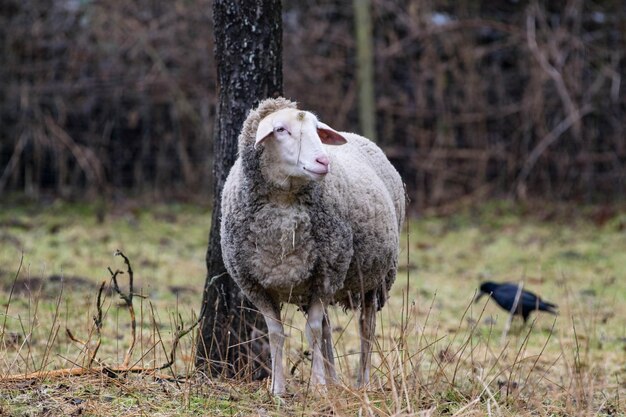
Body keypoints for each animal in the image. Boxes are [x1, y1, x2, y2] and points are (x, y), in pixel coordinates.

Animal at [219, 96, 404, 394]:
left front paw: (318, 387)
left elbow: (313, 330)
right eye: (280, 130)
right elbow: (277, 334)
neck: (283, 202)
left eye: (318, 131)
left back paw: (361, 383)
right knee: (329, 327)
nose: (323, 161)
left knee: (366, 327)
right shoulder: (254, 284)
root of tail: (357, 136)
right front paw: (278, 389)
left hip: (374, 278)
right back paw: (335, 380)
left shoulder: (327, 273)